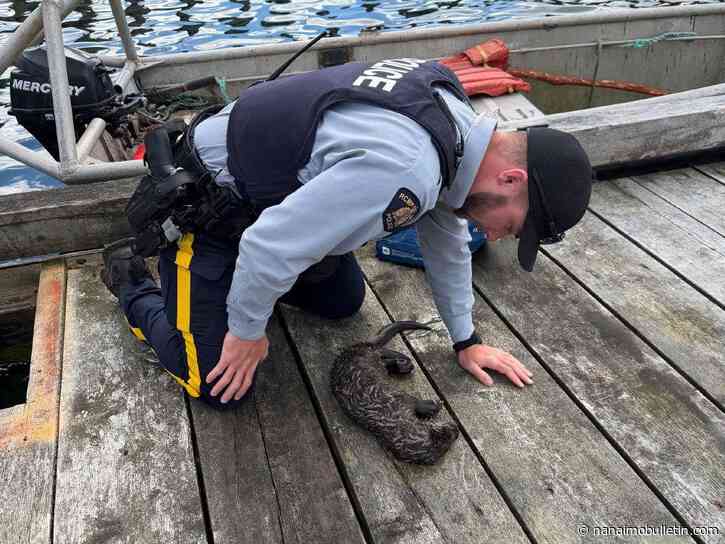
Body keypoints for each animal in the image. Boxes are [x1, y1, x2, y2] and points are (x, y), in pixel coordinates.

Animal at [330, 321, 459, 465]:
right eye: (449, 432)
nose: (456, 428)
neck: (397, 422)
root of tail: (351, 349)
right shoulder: (402, 401)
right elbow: (416, 403)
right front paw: (435, 405)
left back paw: (401, 364)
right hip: (368, 354)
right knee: (383, 351)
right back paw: (403, 362)